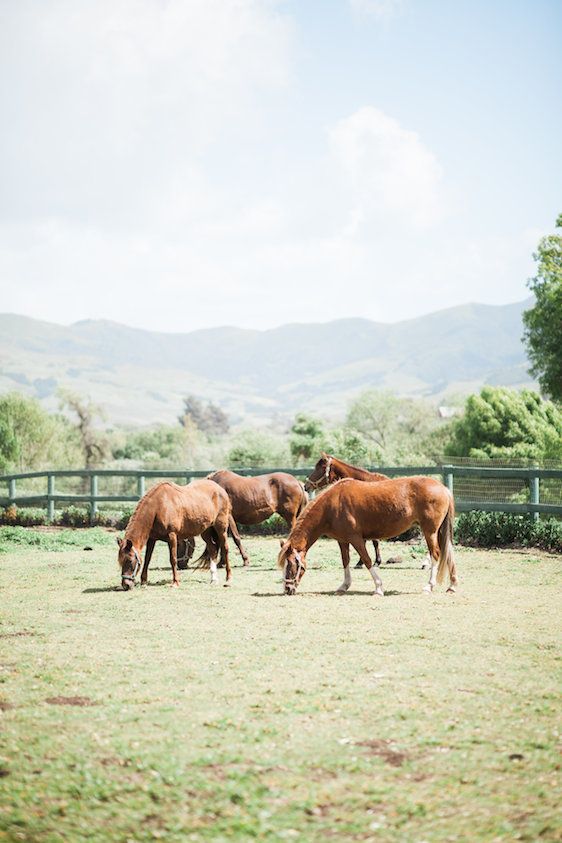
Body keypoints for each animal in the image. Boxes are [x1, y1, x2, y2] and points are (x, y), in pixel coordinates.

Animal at [278, 478, 458, 596]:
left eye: (292, 564)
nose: (287, 589)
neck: (332, 505)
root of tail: (443, 488)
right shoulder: (343, 541)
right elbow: (345, 561)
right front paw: (344, 586)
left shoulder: (356, 539)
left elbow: (367, 560)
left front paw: (378, 588)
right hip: (439, 531)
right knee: (448, 553)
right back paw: (452, 586)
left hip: (430, 531)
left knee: (436, 554)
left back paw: (429, 586)